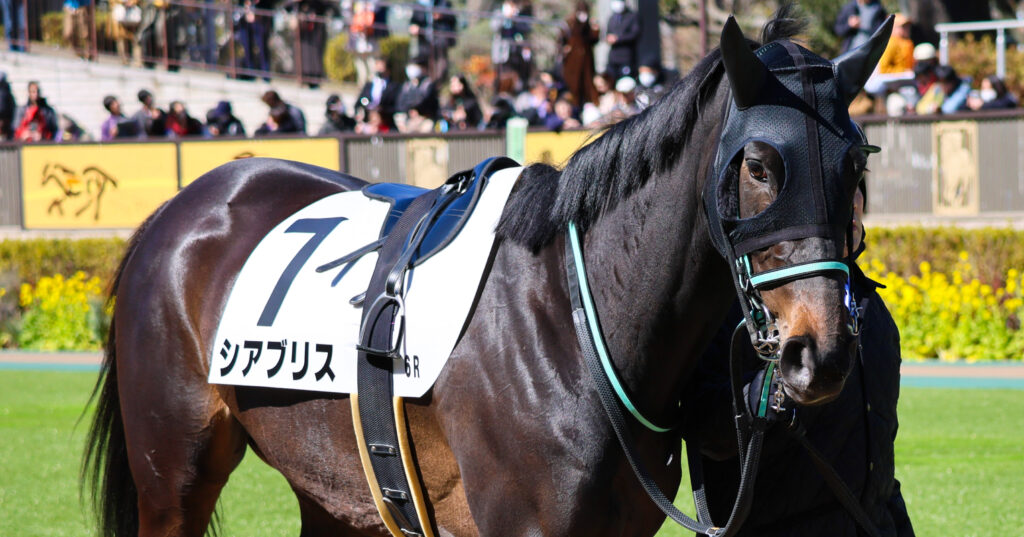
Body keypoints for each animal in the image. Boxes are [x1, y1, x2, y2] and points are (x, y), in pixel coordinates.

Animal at [83, 11, 891, 537]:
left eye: (856, 163)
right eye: (759, 165)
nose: (819, 353)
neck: (575, 315)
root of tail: (177, 211)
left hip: (332, 490)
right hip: (173, 480)